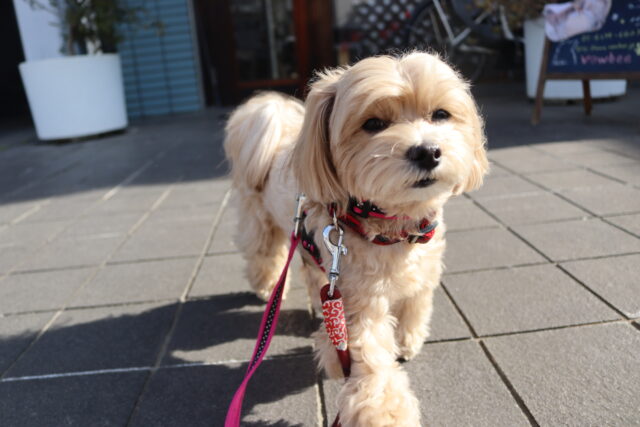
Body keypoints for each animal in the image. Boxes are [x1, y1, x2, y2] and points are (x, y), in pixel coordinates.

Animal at [224, 51, 488, 426]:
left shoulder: (421, 274)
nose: (427, 151)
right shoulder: (357, 305)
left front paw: (407, 339)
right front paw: (386, 414)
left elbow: (414, 307)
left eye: (440, 114)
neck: (392, 228)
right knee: (263, 251)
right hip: (260, 218)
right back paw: (266, 286)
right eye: (373, 123)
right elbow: (370, 359)